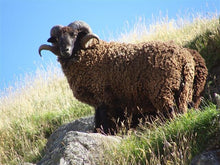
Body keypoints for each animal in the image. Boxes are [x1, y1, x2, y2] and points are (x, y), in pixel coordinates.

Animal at [38, 20, 208, 134]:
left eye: (74, 35)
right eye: (58, 38)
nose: (65, 50)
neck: (91, 53)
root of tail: (183, 58)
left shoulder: (103, 97)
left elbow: (103, 119)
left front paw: (104, 133)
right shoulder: (105, 101)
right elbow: (99, 119)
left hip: (163, 90)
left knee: (171, 113)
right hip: (184, 92)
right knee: (182, 111)